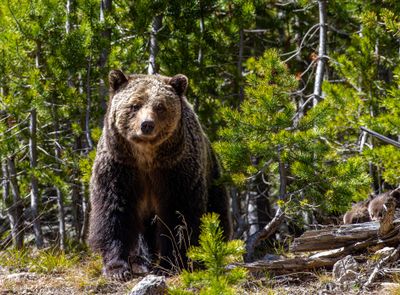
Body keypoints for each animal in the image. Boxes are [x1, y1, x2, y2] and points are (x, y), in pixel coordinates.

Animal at [87, 69, 231, 282]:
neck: (146, 158)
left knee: (216, 215)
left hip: (212, 178)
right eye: (134, 105)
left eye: (160, 107)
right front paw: (118, 269)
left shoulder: (176, 171)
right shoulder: (120, 169)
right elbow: (114, 214)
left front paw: (168, 265)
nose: (147, 125)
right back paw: (142, 261)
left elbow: (178, 218)